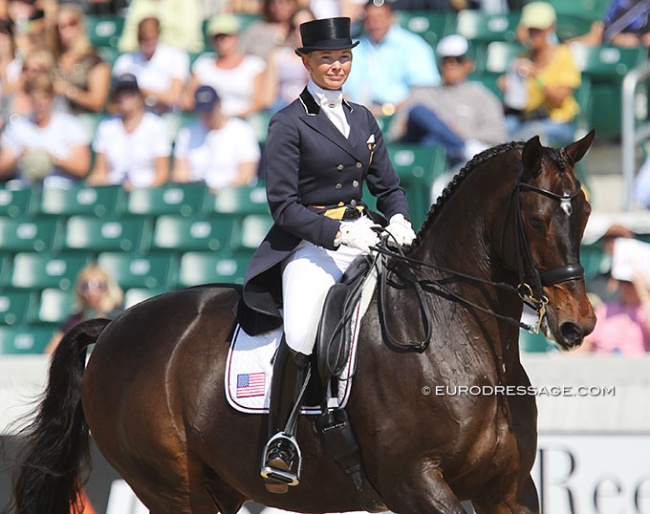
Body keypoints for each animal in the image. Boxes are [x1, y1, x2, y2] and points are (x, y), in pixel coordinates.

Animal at [10, 130, 596, 510]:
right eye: (536, 219)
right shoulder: (415, 483)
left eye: (585, 213)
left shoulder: (510, 489)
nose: (579, 325)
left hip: (219, 487)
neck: (464, 341)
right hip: (174, 489)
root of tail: (112, 326)